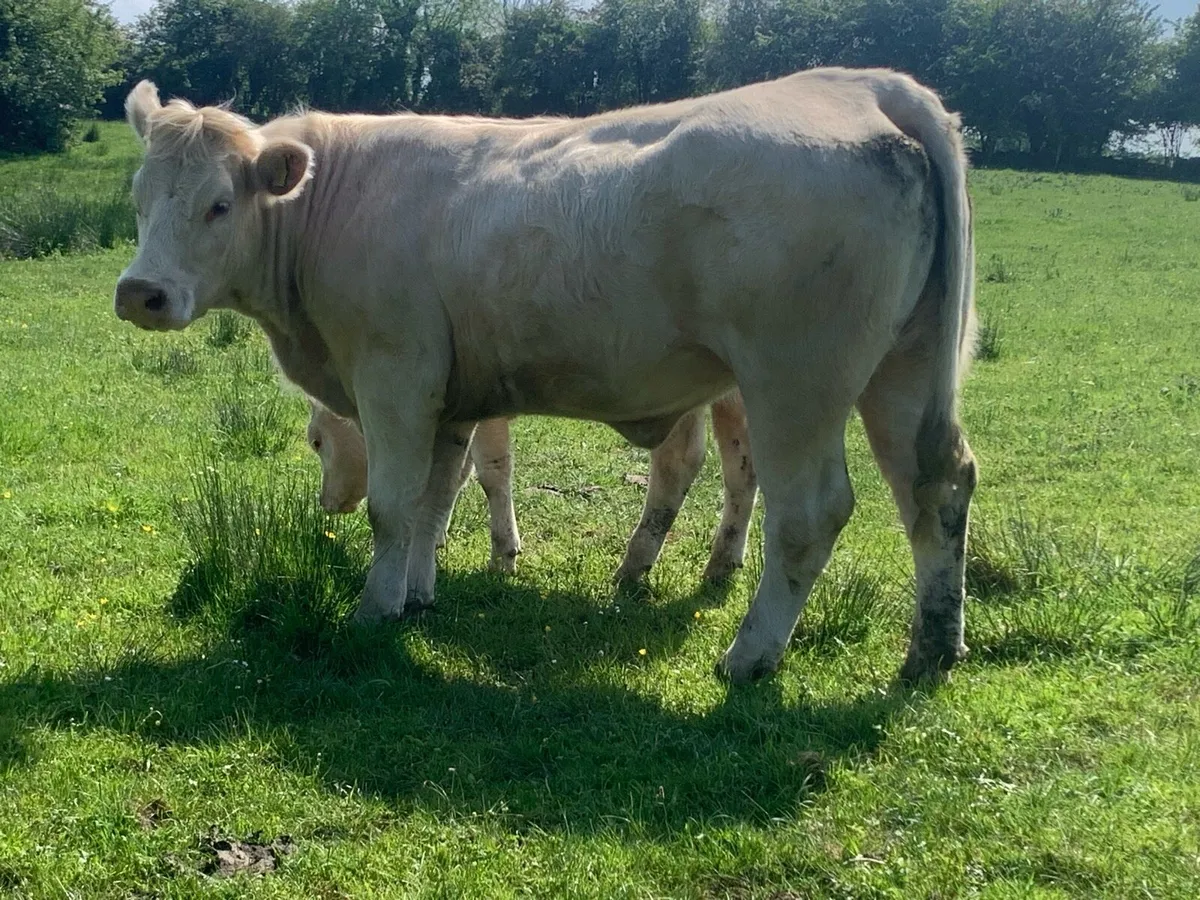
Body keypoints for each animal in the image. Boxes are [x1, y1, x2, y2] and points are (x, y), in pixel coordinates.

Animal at [307, 391, 758, 582]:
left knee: (679, 459)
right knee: (743, 464)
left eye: (315, 441)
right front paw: (435, 536)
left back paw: (634, 565)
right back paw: (723, 561)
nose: (326, 502)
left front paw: (503, 553)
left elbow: (489, 471)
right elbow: (459, 472)